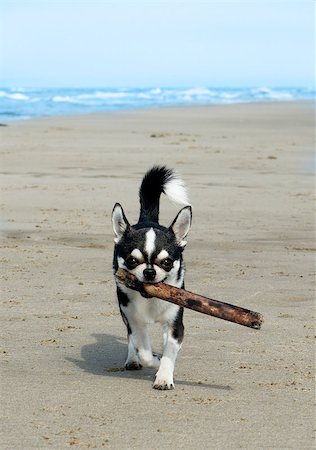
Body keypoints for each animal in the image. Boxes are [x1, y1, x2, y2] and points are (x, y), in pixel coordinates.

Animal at [112, 167, 191, 388]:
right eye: (132, 260)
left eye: (166, 262)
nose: (149, 272)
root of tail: (148, 219)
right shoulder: (134, 319)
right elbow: (144, 350)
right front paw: (154, 360)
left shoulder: (174, 324)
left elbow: (170, 350)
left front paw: (164, 376)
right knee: (132, 340)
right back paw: (132, 359)